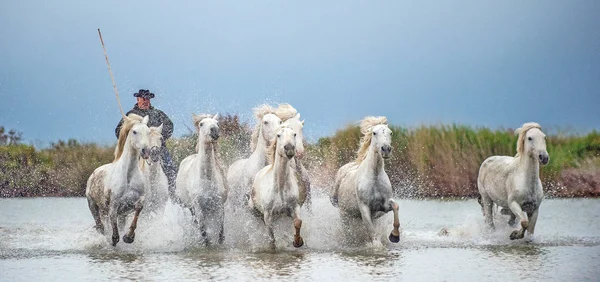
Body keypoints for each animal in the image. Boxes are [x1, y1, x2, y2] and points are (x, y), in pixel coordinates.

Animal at [86, 113, 152, 246]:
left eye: (148, 132)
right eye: (134, 132)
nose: (146, 151)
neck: (128, 177)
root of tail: (94, 173)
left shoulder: (136, 201)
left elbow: (138, 210)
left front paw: (129, 237)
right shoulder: (114, 205)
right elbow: (114, 228)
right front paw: (114, 239)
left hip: (120, 214)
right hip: (93, 205)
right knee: (100, 226)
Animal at [176, 114, 230, 245]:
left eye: (217, 123)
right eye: (201, 124)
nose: (214, 131)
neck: (207, 179)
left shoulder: (218, 205)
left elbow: (220, 230)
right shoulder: (198, 207)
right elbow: (203, 230)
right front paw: (206, 244)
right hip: (190, 207)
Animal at [330, 116, 400, 247]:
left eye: (391, 133)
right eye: (374, 133)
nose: (386, 149)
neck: (375, 177)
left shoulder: (383, 206)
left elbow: (395, 206)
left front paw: (394, 236)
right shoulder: (364, 208)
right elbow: (373, 234)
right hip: (345, 215)